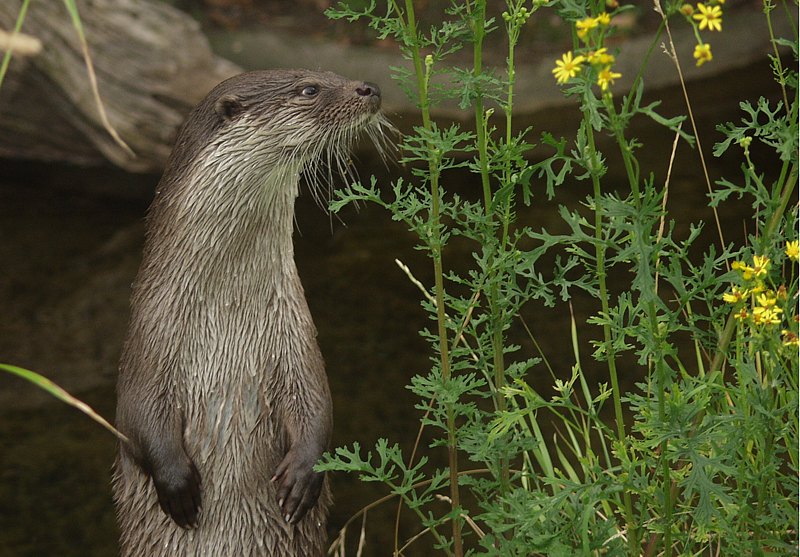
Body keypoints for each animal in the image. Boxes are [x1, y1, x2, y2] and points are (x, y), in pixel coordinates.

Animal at [113, 70, 388, 556]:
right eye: (309, 89)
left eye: (334, 74)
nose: (369, 89)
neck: (227, 310)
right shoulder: (149, 338)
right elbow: (134, 415)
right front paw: (177, 485)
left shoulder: (296, 336)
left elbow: (318, 403)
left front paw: (302, 477)